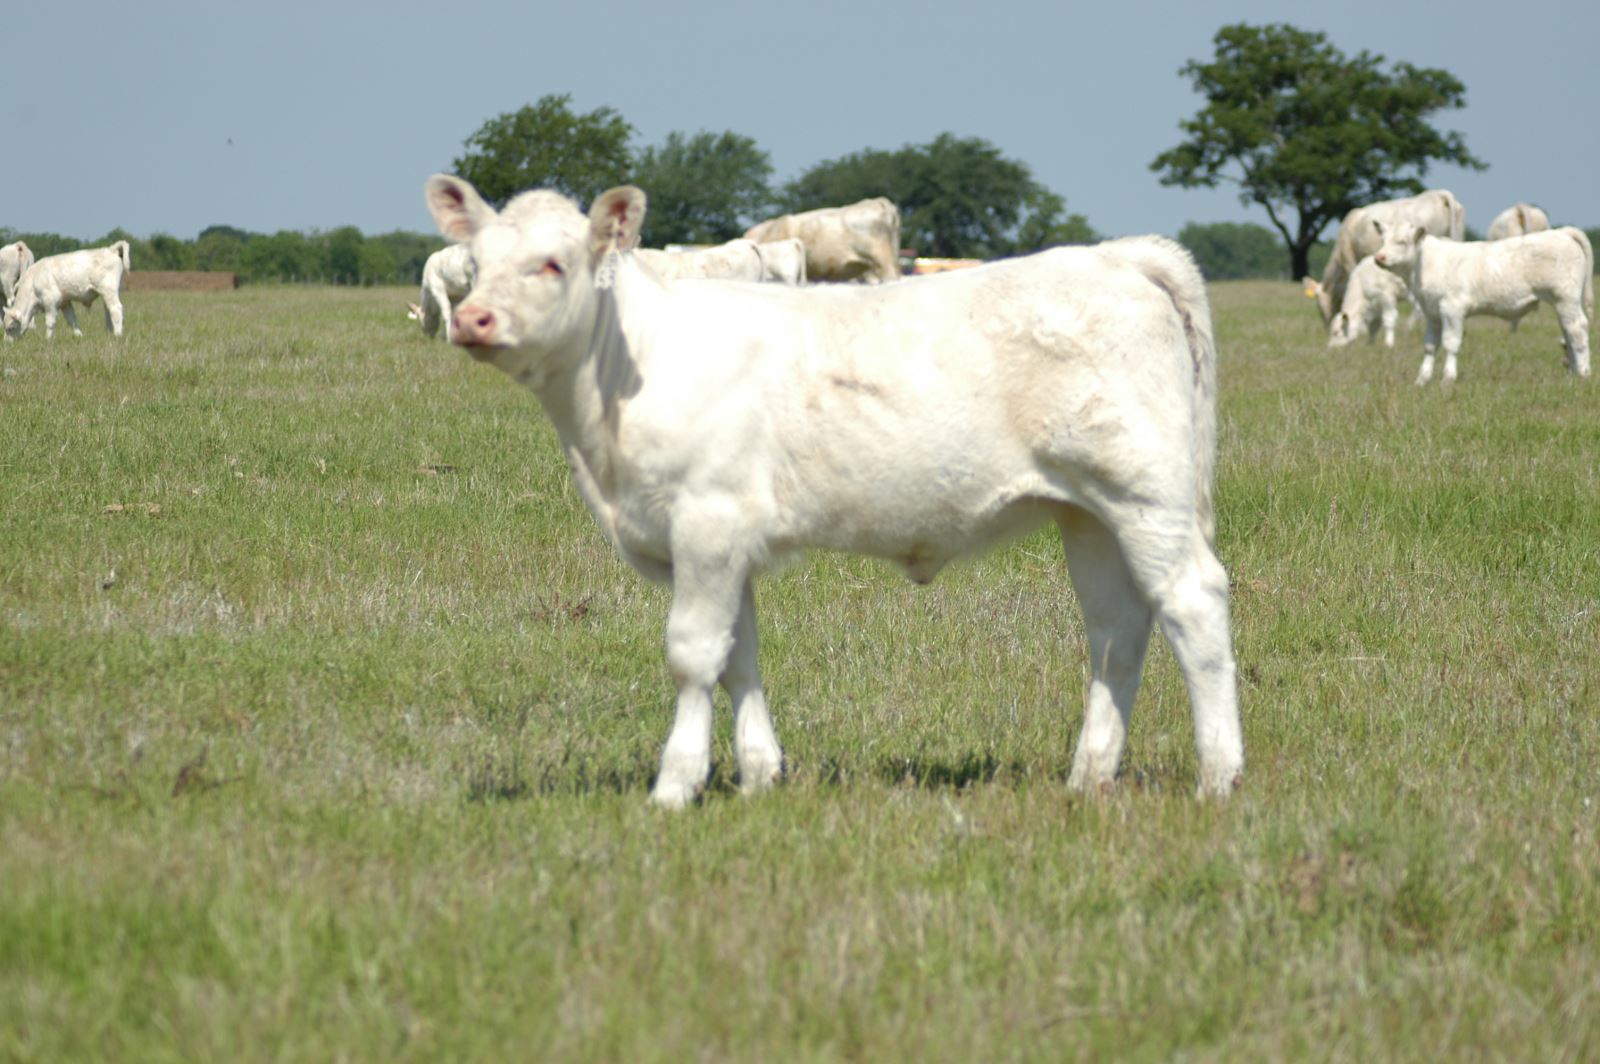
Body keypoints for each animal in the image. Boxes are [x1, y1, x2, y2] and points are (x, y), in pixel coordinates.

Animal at [1372, 222, 1593, 384]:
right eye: (1383, 240)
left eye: (1402, 242)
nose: (1379, 257)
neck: (1424, 265)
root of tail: (1561, 231)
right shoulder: (1431, 313)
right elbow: (1430, 346)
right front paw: (1422, 380)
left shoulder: (1452, 309)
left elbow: (1451, 343)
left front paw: (1447, 379)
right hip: (1562, 303)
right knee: (1567, 331)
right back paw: (1572, 372)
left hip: (1566, 298)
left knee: (1577, 329)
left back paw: (1583, 373)